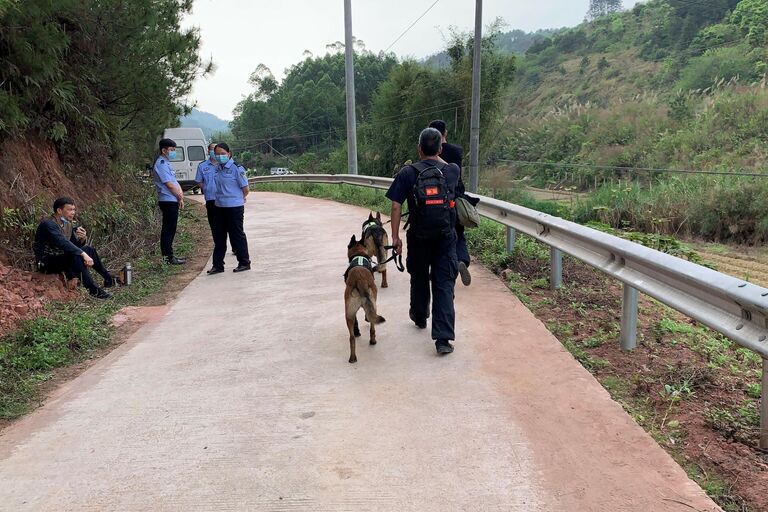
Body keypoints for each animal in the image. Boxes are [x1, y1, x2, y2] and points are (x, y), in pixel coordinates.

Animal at [344, 234, 388, 362]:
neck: (359, 254)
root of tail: (360, 280)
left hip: (348, 313)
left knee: (352, 338)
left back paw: (352, 357)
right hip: (373, 304)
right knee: (372, 326)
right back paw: (372, 341)